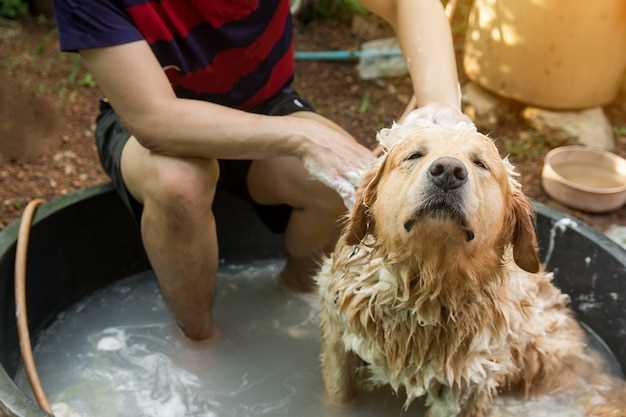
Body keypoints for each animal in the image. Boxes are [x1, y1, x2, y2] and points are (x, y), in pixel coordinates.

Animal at [316, 123, 624, 416]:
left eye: (480, 163)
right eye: (414, 155)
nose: (448, 171)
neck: (425, 284)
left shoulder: (466, 384)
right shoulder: (339, 343)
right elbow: (340, 397)